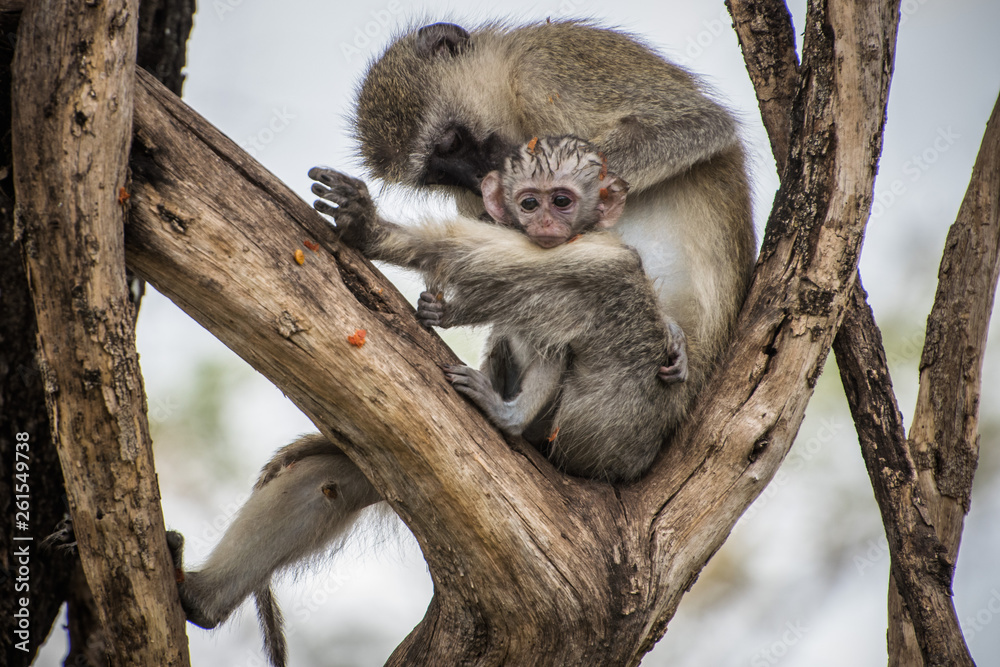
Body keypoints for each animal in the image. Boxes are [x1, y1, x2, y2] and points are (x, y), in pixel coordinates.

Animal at [168, 21, 756, 666]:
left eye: (453, 139)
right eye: (438, 170)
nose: (479, 178)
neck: (511, 95)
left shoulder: (554, 63)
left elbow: (696, 126)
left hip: (625, 409)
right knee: (341, 471)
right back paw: (202, 597)